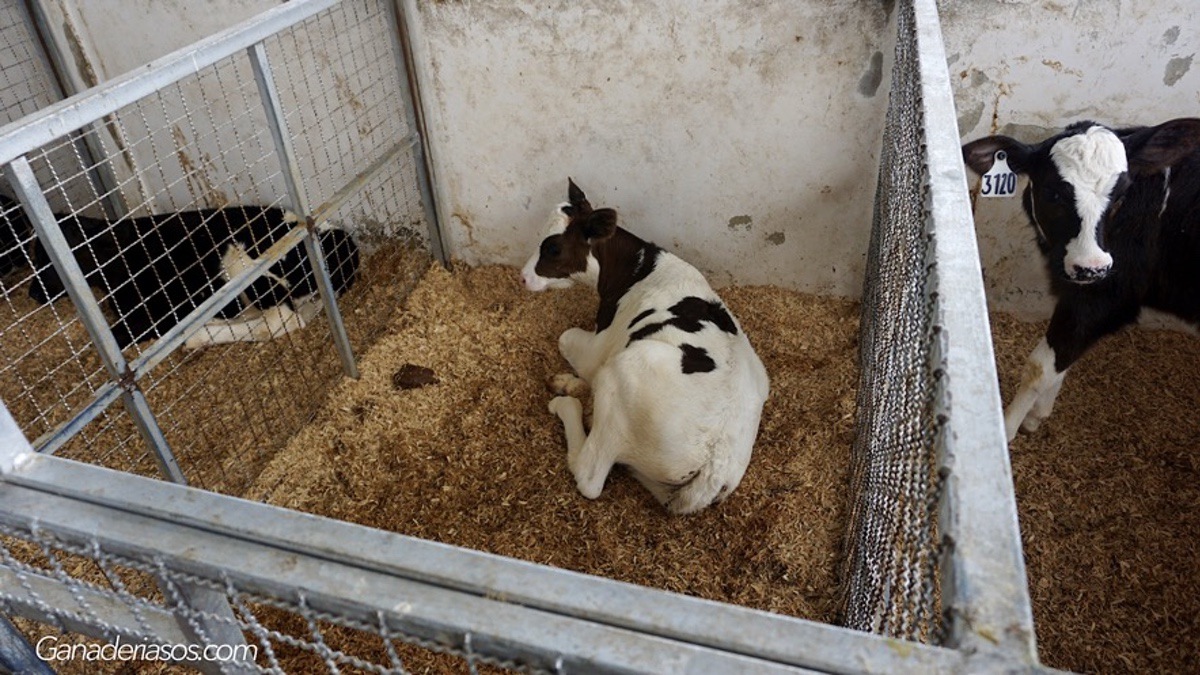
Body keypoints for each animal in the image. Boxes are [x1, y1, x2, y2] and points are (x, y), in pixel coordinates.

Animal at [518, 176, 763, 511]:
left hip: (627, 371)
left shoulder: (601, 347)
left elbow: (566, 337)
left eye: (553, 247)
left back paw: (566, 402)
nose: (522, 277)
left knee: (589, 475)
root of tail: (715, 462)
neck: (638, 272)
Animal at [960, 117, 1200, 439]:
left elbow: (1040, 367)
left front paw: (1007, 428)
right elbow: (1060, 359)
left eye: (1120, 196)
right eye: (1053, 194)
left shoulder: (1109, 295)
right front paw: (1036, 415)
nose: (1092, 267)